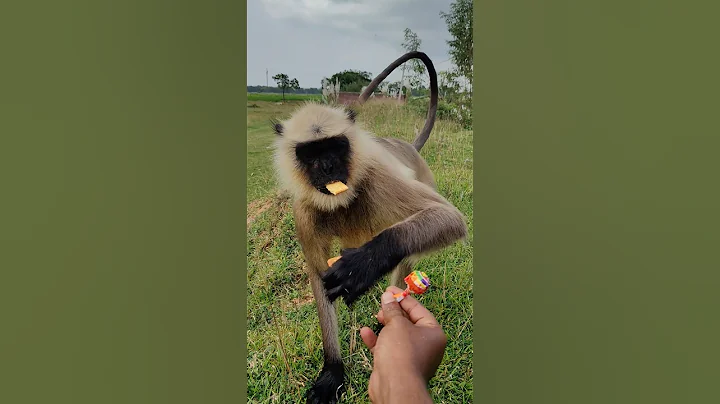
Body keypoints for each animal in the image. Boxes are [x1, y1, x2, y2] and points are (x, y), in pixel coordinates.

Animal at [270, 51, 468, 404]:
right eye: (311, 152)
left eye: (335, 146)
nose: (328, 166)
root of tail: (409, 147)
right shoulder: (303, 210)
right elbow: (319, 277)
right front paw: (333, 371)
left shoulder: (377, 178)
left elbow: (449, 217)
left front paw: (362, 266)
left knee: (408, 248)